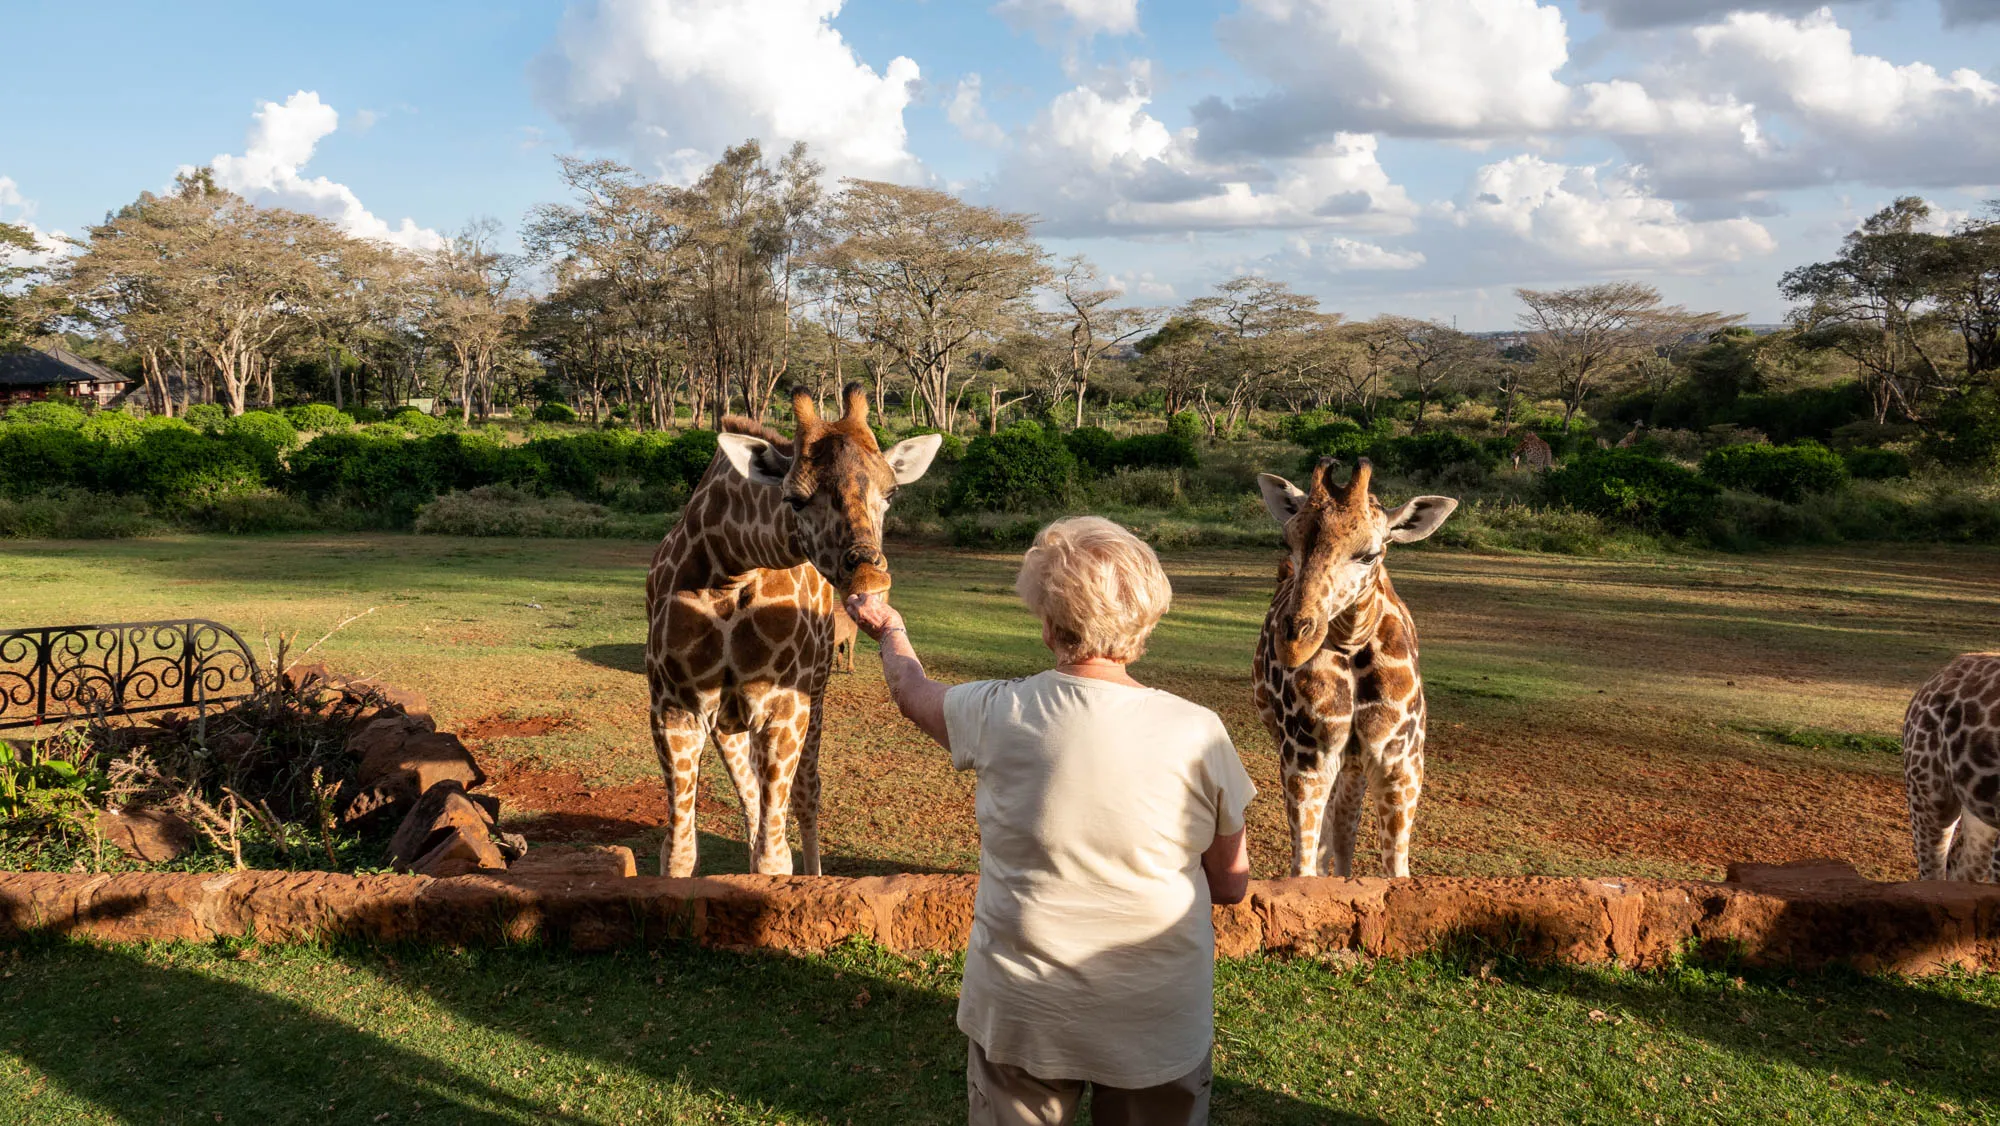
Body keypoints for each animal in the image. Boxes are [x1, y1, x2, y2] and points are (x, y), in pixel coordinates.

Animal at [644, 384, 942, 877]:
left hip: (813, 697)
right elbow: (680, 849)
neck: (730, 569)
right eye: (795, 498)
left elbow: (775, 855)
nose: (869, 580)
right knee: (750, 799)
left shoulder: (784, 707)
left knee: (805, 796)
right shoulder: (675, 708)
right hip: (729, 722)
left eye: (891, 493)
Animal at [1252, 458, 1457, 878]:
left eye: (1369, 554)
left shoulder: (1401, 766)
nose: (1293, 642)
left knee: (1344, 823)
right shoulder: (1305, 759)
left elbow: (1396, 870)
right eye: (1288, 542)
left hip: (1355, 764)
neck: (1351, 641)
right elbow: (1304, 867)